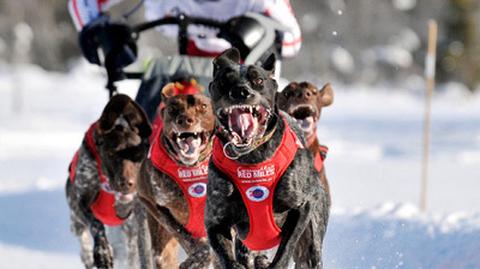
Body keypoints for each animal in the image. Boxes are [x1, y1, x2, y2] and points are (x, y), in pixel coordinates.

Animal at [66, 93, 152, 268]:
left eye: (138, 154)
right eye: (111, 154)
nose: (126, 183)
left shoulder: (139, 213)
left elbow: (143, 246)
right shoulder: (81, 203)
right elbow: (96, 224)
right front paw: (103, 253)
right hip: (75, 220)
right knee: (82, 237)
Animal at [202, 48, 330, 268]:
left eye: (259, 80)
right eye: (224, 81)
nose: (240, 91)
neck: (252, 157)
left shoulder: (301, 207)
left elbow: (285, 249)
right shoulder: (215, 220)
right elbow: (226, 255)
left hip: (312, 243)